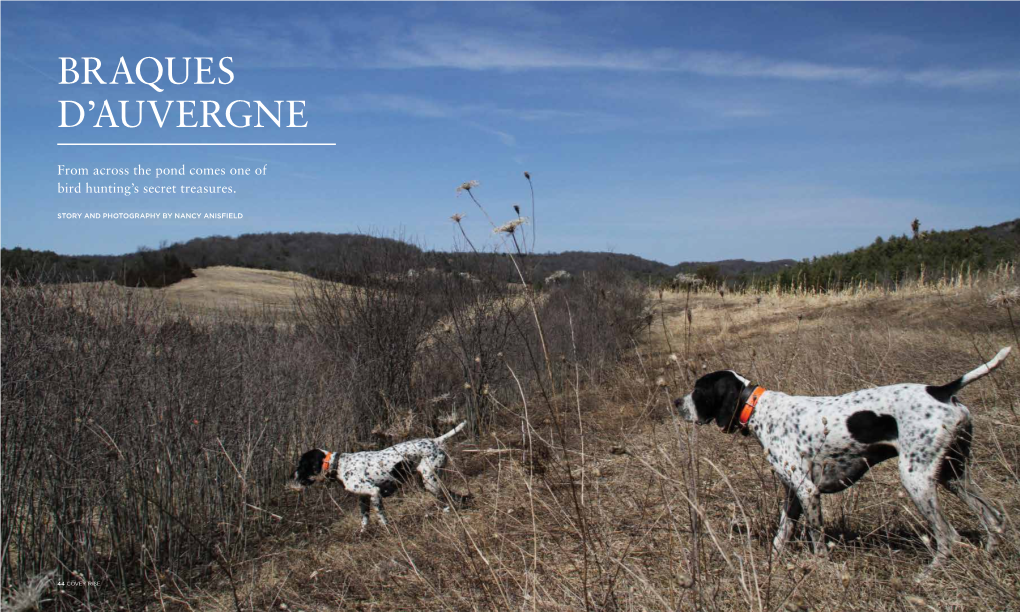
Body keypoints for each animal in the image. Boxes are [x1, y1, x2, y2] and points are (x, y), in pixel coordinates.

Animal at [287, 420, 469, 530]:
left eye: (301, 465)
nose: (291, 476)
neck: (339, 465)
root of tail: (435, 441)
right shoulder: (363, 498)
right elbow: (364, 520)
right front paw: (362, 534)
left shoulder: (374, 493)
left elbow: (381, 518)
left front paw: (387, 530)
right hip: (426, 481)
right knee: (455, 496)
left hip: (430, 482)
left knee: (449, 497)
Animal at [673, 346, 1007, 571]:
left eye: (698, 389)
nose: (676, 402)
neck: (759, 409)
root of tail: (941, 390)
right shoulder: (794, 493)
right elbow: (782, 534)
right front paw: (774, 562)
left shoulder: (808, 491)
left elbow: (816, 538)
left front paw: (820, 567)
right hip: (954, 474)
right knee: (994, 518)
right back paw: (990, 555)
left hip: (917, 479)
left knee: (948, 536)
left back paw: (927, 575)